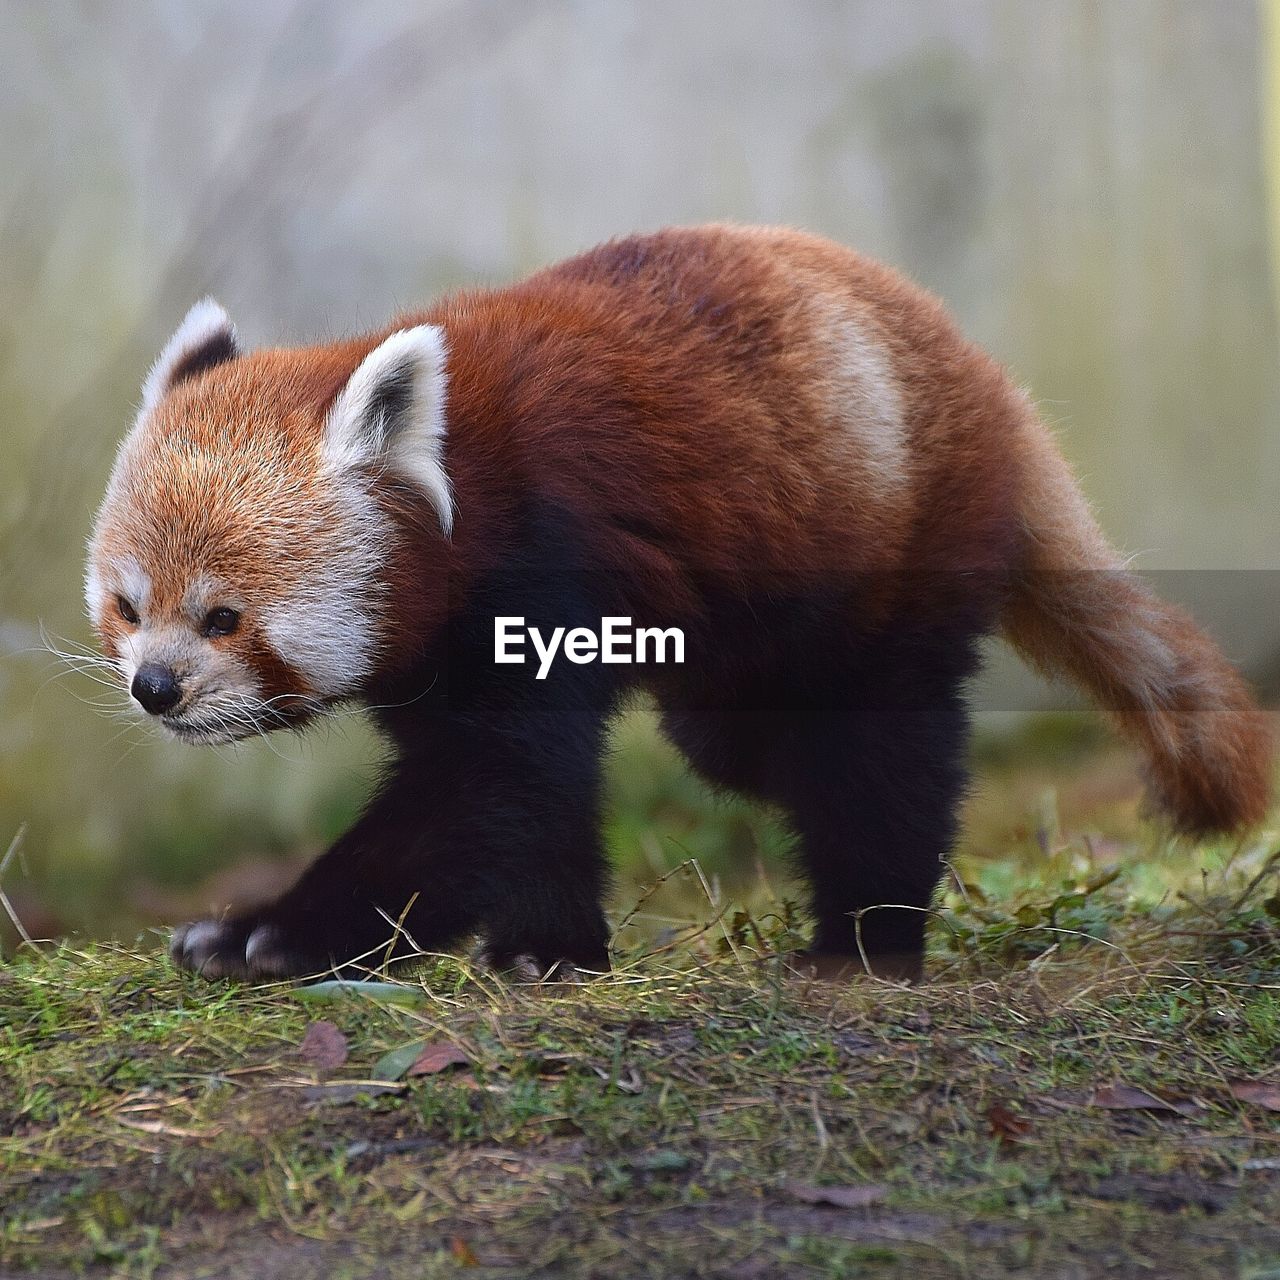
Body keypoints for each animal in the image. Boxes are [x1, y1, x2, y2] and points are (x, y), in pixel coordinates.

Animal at [82, 222, 1269, 977]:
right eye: (130, 607)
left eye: (224, 617)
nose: (156, 689)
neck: (460, 487)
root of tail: (997, 392)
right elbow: (521, 795)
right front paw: (548, 950)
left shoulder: (543, 561)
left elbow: (488, 788)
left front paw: (269, 933)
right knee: (742, 739)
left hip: (894, 543)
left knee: (880, 748)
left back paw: (864, 939)